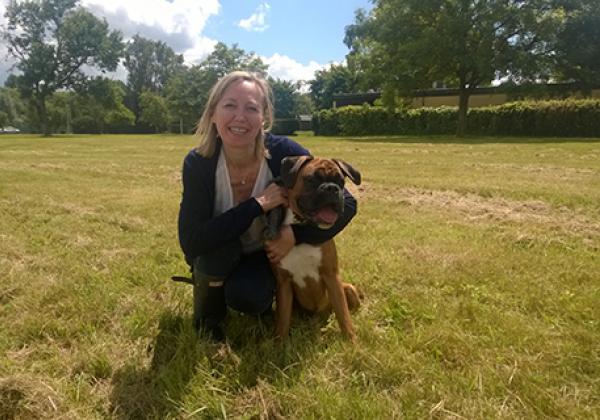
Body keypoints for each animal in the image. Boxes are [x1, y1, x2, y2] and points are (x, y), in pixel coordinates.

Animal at [270, 156, 360, 340]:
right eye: (311, 179)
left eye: (341, 182)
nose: (332, 188)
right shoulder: (284, 283)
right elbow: (282, 320)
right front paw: (279, 343)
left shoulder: (332, 277)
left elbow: (344, 316)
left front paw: (352, 342)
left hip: (348, 288)